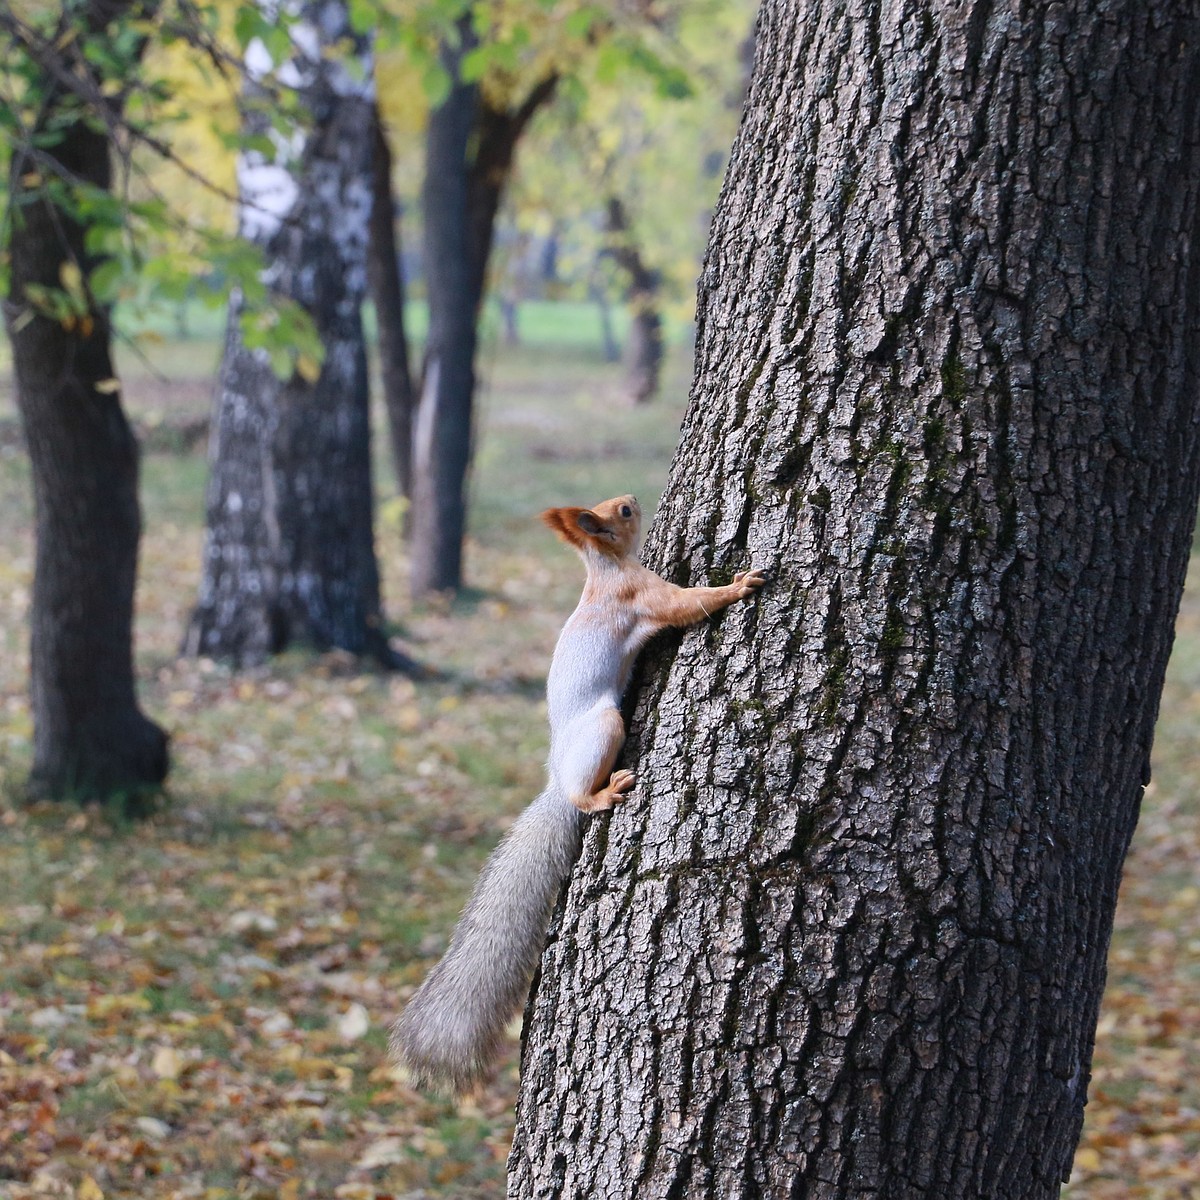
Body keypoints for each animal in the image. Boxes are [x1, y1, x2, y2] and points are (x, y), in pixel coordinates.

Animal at [393, 492, 768, 1094]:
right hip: (604, 728)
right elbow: (687, 604)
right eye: (621, 513)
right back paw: (604, 793)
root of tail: (556, 775)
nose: (633, 499)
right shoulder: (642, 595)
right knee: (580, 796)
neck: (602, 569)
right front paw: (738, 585)